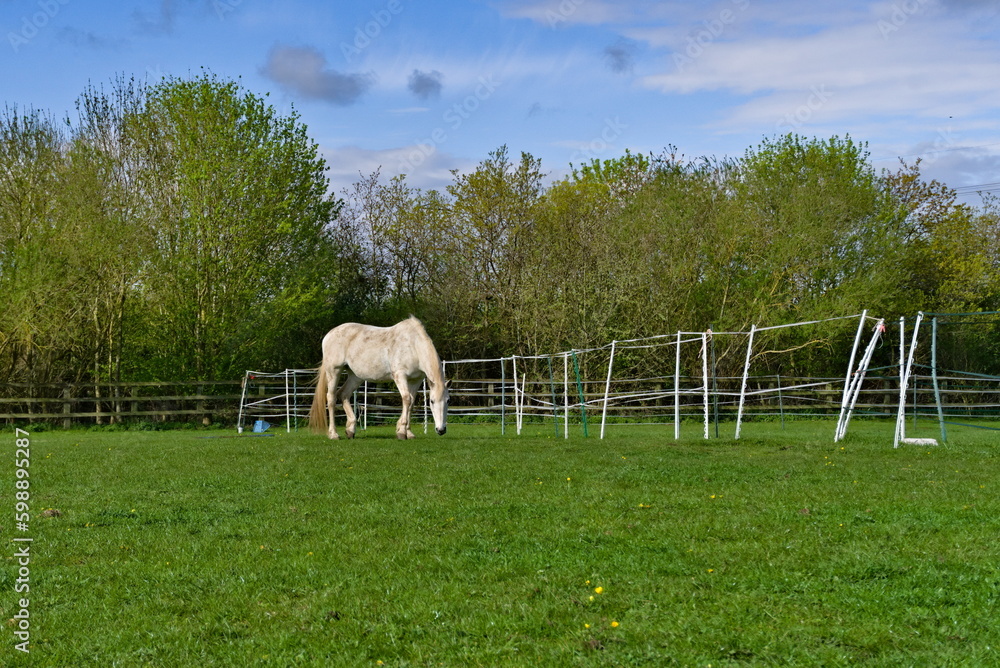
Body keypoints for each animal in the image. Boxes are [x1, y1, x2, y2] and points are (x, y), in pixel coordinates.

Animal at [308, 317, 450, 440]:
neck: (413, 345)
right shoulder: (400, 376)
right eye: (431, 401)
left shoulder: (416, 380)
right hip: (334, 371)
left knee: (343, 394)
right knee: (331, 398)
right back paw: (333, 434)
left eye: (448, 401)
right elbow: (407, 399)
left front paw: (408, 432)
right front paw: (402, 432)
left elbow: (412, 403)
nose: (441, 430)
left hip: (355, 377)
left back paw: (350, 430)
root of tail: (329, 335)